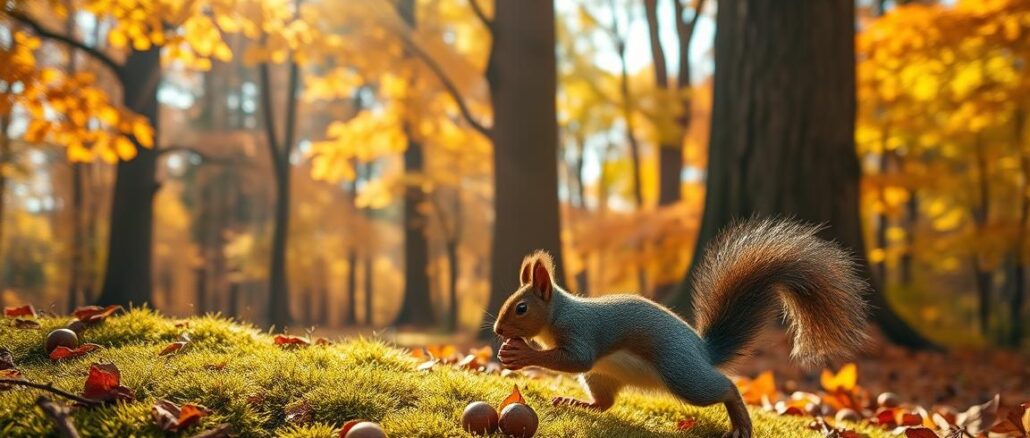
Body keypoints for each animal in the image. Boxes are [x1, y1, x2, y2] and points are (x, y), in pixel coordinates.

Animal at [494, 219, 870, 438]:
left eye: (521, 308)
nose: (497, 330)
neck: (558, 315)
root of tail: (703, 350)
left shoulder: (582, 333)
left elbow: (575, 359)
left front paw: (522, 353)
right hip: (603, 376)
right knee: (605, 403)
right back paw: (577, 403)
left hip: (682, 374)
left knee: (726, 387)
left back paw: (741, 424)